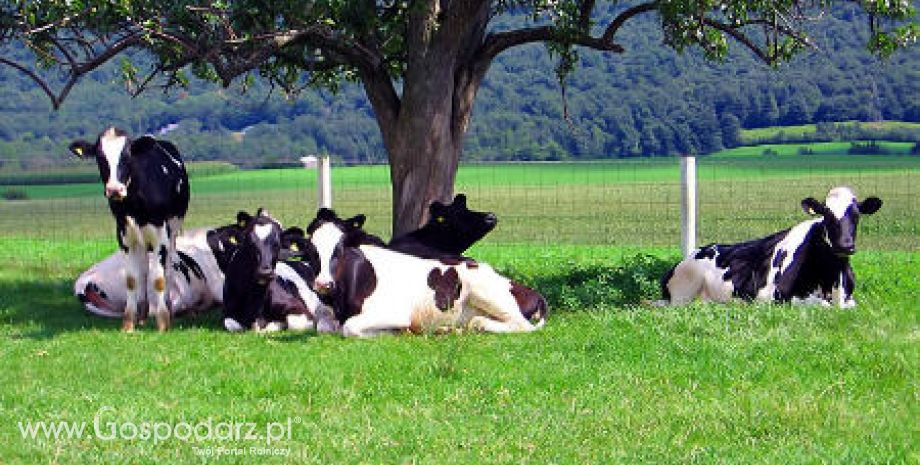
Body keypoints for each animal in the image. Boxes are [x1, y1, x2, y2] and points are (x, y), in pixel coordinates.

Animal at [70, 127, 190, 330]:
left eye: (127, 157)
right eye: (100, 157)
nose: (114, 189)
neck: (135, 204)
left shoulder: (161, 235)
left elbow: (159, 279)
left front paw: (162, 322)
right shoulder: (124, 236)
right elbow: (132, 279)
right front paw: (129, 323)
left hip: (172, 231)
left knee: (167, 270)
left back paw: (167, 308)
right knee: (144, 270)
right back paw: (142, 314)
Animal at [308, 208, 548, 336]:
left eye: (340, 248)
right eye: (310, 249)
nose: (323, 284)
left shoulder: (394, 313)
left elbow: (350, 328)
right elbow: (323, 326)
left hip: (485, 292)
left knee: (519, 325)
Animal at [660, 187, 884, 306]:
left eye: (856, 215)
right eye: (826, 215)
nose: (844, 246)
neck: (833, 280)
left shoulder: (849, 299)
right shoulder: (780, 297)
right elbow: (821, 305)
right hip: (683, 294)